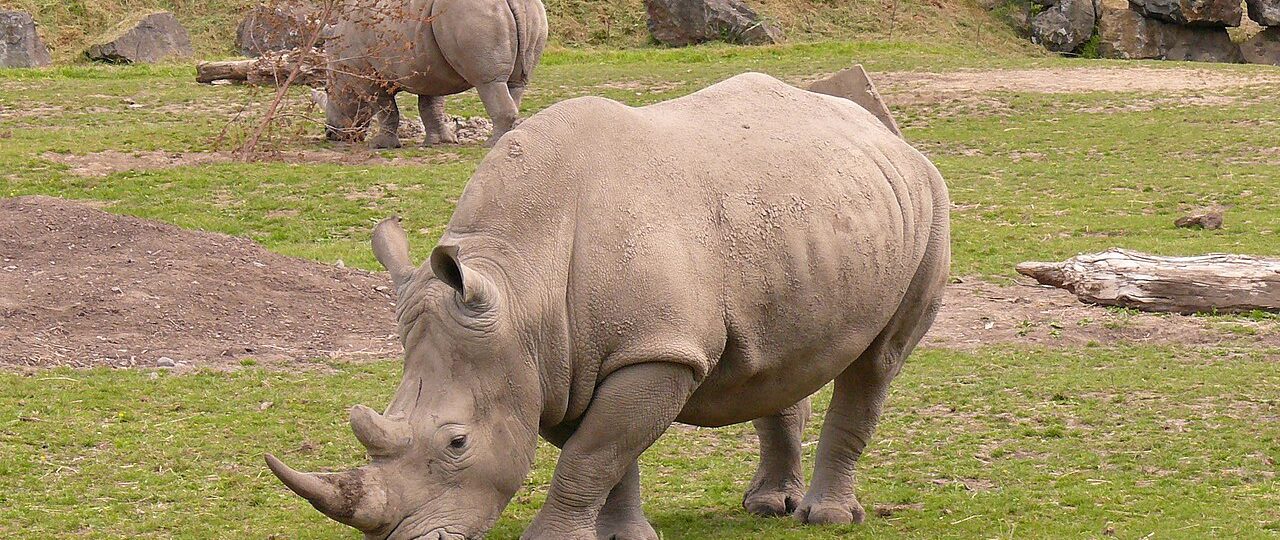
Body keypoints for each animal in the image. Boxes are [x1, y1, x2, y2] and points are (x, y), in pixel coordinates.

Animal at [267, 72, 950, 540]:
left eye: (457, 443)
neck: (521, 283)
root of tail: (884, 132)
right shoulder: (561, 359)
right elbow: (607, 455)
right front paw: (621, 536)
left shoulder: (654, 351)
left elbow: (592, 454)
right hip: (811, 217)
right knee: (781, 359)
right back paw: (767, 507)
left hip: (932, 201)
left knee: (878, 363)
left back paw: (824, 518)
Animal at [315, 0, 548, 148]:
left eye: (327, 90)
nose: (330, 134)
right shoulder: (429, 70)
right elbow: (430, 106)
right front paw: (438, 142)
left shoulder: (368, 76)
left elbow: (386, 109)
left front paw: (380, 146)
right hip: (535, 13)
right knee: (516, 84)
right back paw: (509, 138)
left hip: (474, 15)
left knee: (489, 83)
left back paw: (491, 144)